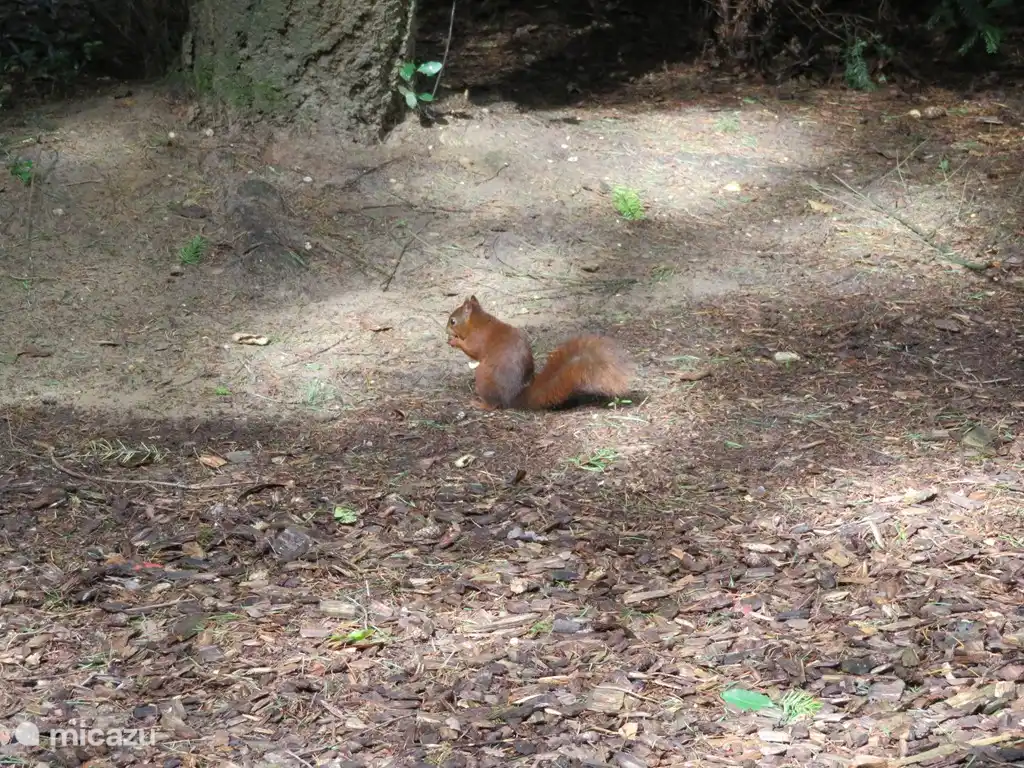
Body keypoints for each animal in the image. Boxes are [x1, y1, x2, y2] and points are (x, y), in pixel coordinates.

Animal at [446, 295, 633, 410]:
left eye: (453, 321)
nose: (446, 330)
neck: (480, 322)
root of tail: (512, 398)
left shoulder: (478, 338)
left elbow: (472, 350)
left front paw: (454, 341)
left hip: (483, 378)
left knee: (493, 405)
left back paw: (479, 404)